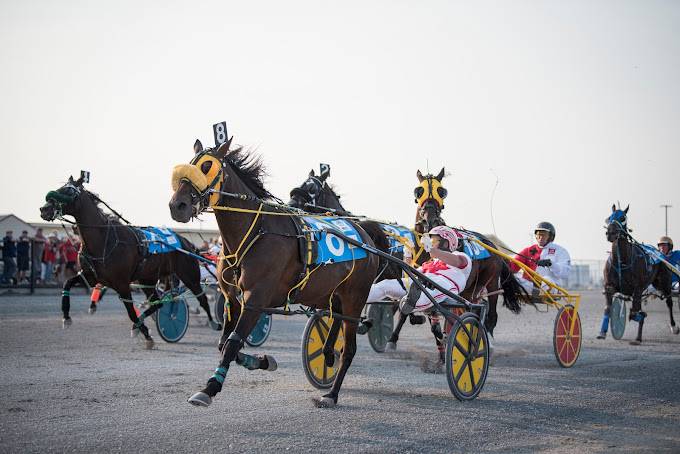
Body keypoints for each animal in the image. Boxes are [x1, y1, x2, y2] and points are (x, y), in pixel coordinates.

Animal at [39, 176, 220, 350]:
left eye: (69, 191)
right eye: (61, 187)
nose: (44, 209)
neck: (104, 240)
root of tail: (187, 243)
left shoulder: (122, 284)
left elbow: (131, 313)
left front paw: (147, 336)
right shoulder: (90, 276)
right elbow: (67, 284)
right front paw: (66, 317)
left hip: (189, 275)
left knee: (202, 298)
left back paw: (214, 322)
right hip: (148, 279)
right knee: (158, 302)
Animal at [166, 138, 378, 408]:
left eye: (207, 166)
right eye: (189, 165)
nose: (177, 206)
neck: (255, 232)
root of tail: (365, 237)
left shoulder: (256, 299)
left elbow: (232, 343)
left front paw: (209, 388)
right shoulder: (233, 299)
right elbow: (224, 344)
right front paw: (263, 361)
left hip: (355, 298)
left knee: (349, 348)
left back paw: (331, 394)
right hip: (330, 294)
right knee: (335, 318)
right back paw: (327, 354)